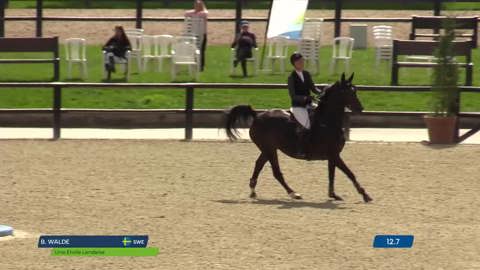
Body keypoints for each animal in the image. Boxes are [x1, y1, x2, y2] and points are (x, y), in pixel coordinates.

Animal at [223, 73, 374, 202]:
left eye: (355, 90)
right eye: (346, 92)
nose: (360, 108)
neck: (327, 123)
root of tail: (256, 116)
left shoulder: (333, 156)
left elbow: (332, 175)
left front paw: (333, 195)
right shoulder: (334, 155)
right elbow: (350, 173)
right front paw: (365, 195)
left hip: (268, 149)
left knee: (258, 165)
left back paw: (253, 191)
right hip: (269, 149)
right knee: (276, 172)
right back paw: (293, 193)